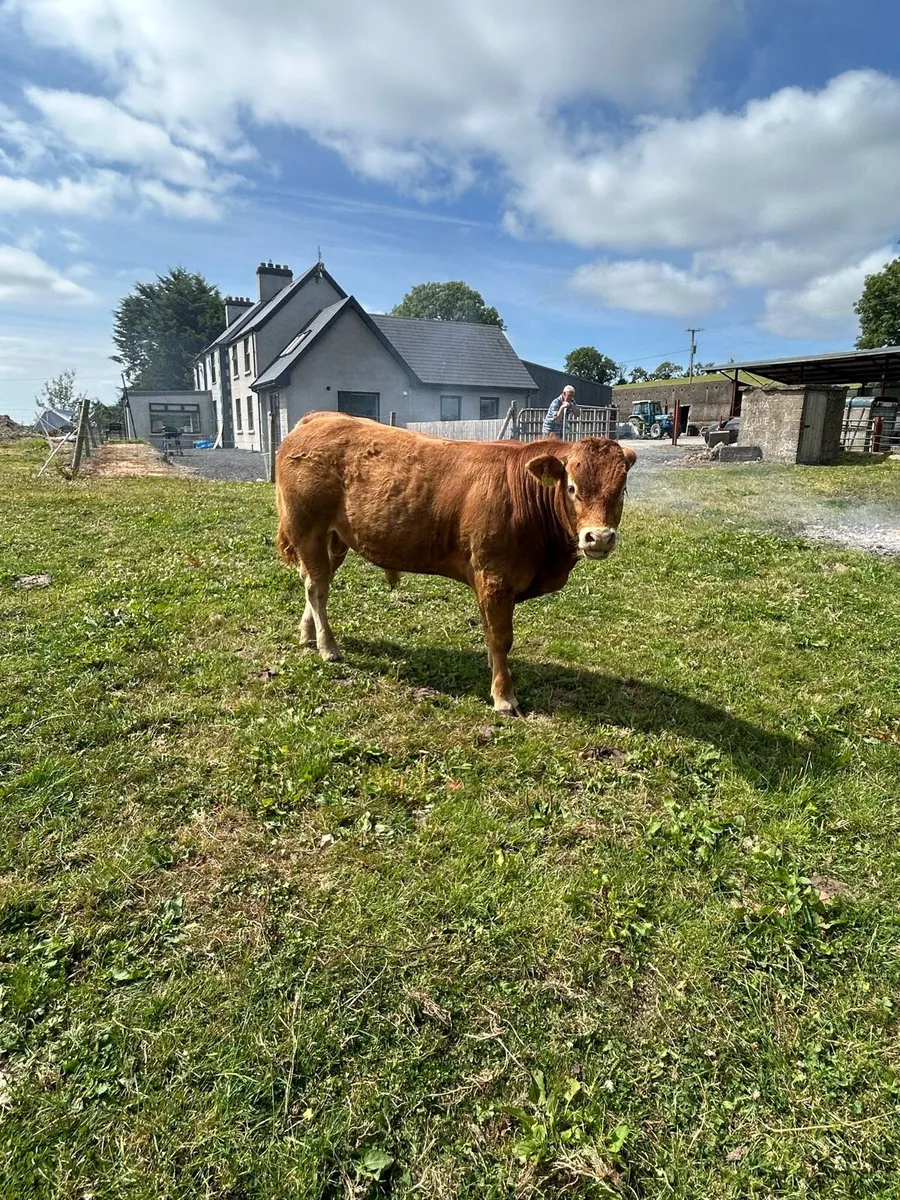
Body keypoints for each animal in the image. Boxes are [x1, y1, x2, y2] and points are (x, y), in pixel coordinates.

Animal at [275, 412, 635, 715]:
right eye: (572, 487)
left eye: (620, 491)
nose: (599, 537)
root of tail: (319, 417)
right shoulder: (495, 577)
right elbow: (501, 637)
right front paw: (504, 695)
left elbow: (491, 633)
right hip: (307, 529)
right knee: (317, 587)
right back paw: (328, 647)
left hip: (335, 539)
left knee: (315, 582)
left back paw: (308, 634)